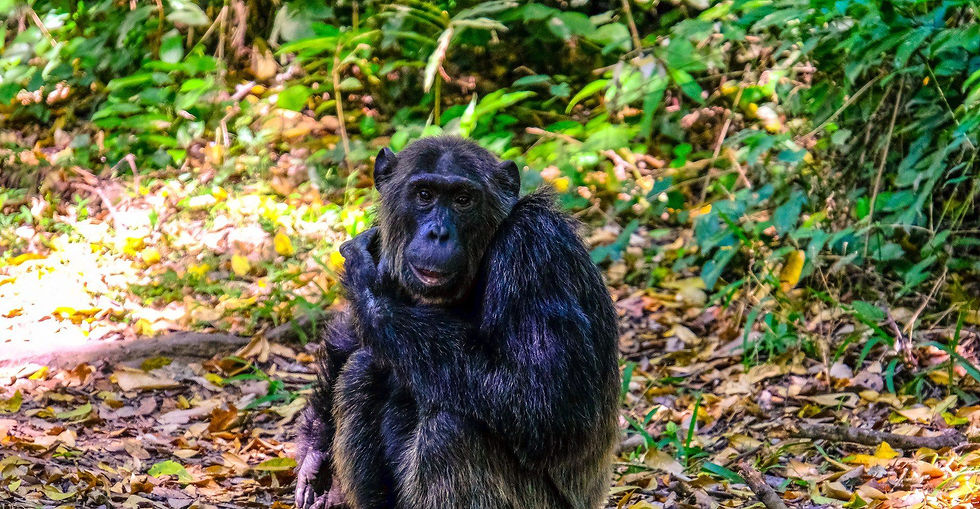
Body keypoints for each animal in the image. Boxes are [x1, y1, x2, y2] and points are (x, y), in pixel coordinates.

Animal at [295, 136, 619, 508]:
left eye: (463, 200)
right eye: (424, 195)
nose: (438, 233)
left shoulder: (534, 250)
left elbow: (549, 399)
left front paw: (366, 283)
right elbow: (350, 339)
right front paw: (316, 454)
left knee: (451, 430)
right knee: (361, 370)